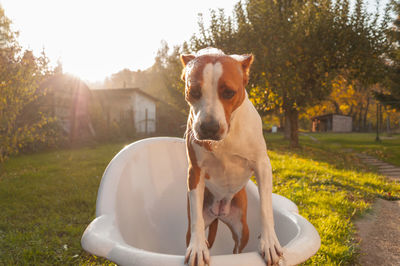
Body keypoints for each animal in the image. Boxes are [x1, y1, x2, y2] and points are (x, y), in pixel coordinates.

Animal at [181, 48, 282, 266]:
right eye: (193, 92)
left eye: (229, 92)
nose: (209, 127)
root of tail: (219, 211)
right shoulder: (195, 170)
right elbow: (196, 218)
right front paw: (198, 248)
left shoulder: (262, 165)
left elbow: (266, 207)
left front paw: (269, 242)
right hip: (198, 222)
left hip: (241, 228)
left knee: (237, 249)